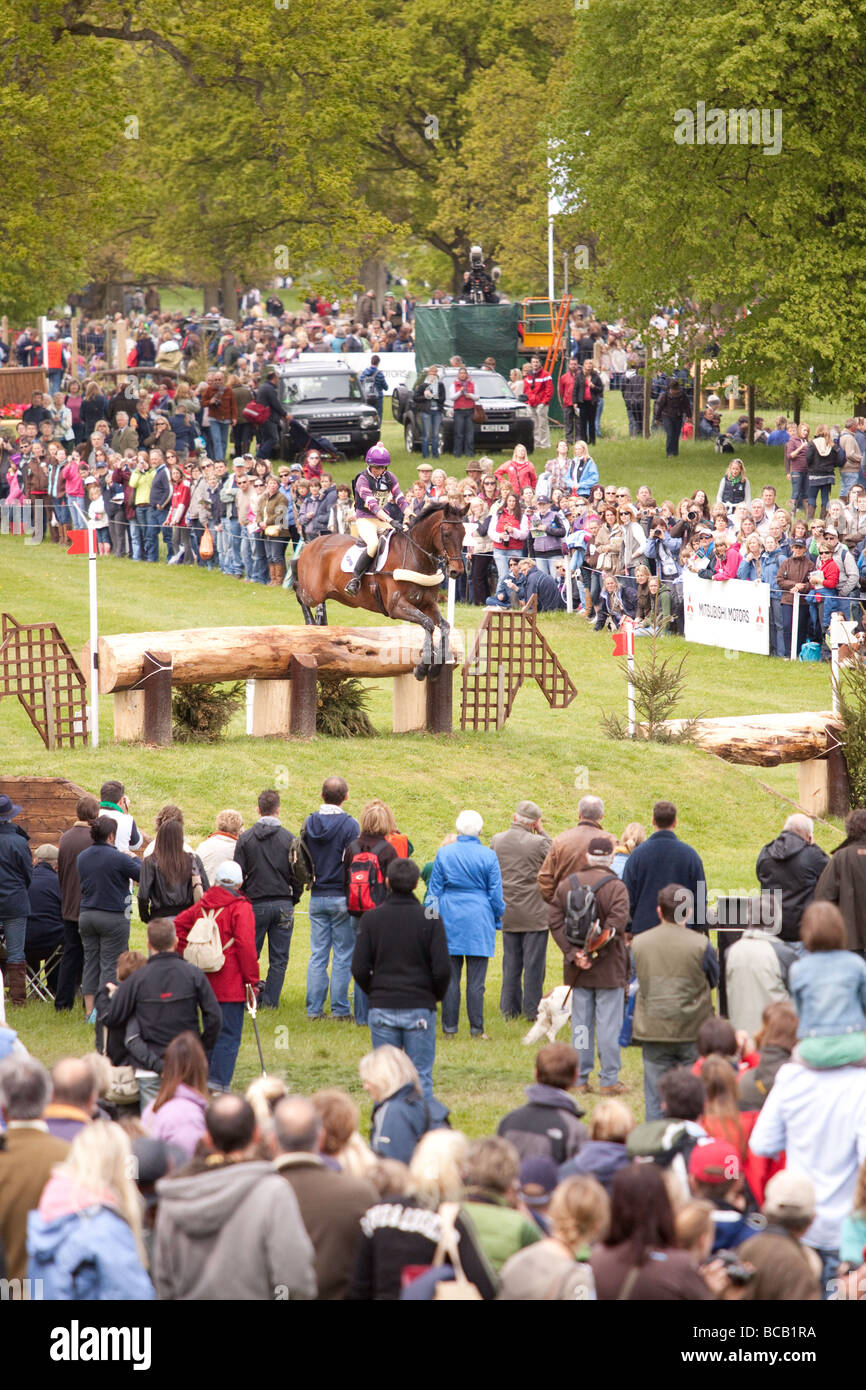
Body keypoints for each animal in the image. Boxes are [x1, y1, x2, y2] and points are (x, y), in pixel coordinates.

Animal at [291, 503, 467, 681]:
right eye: (446, 534)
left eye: (464, 533)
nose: (456, 572)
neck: (415, 556)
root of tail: (311, 543)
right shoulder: (396, 606)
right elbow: (428, 624)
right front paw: (422, 668)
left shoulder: (427, 604)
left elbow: (444, 626)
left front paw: (436, 667)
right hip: (313, 592)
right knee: (298, 589)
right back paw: (310, 622)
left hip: (328, 593)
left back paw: (321, 622)